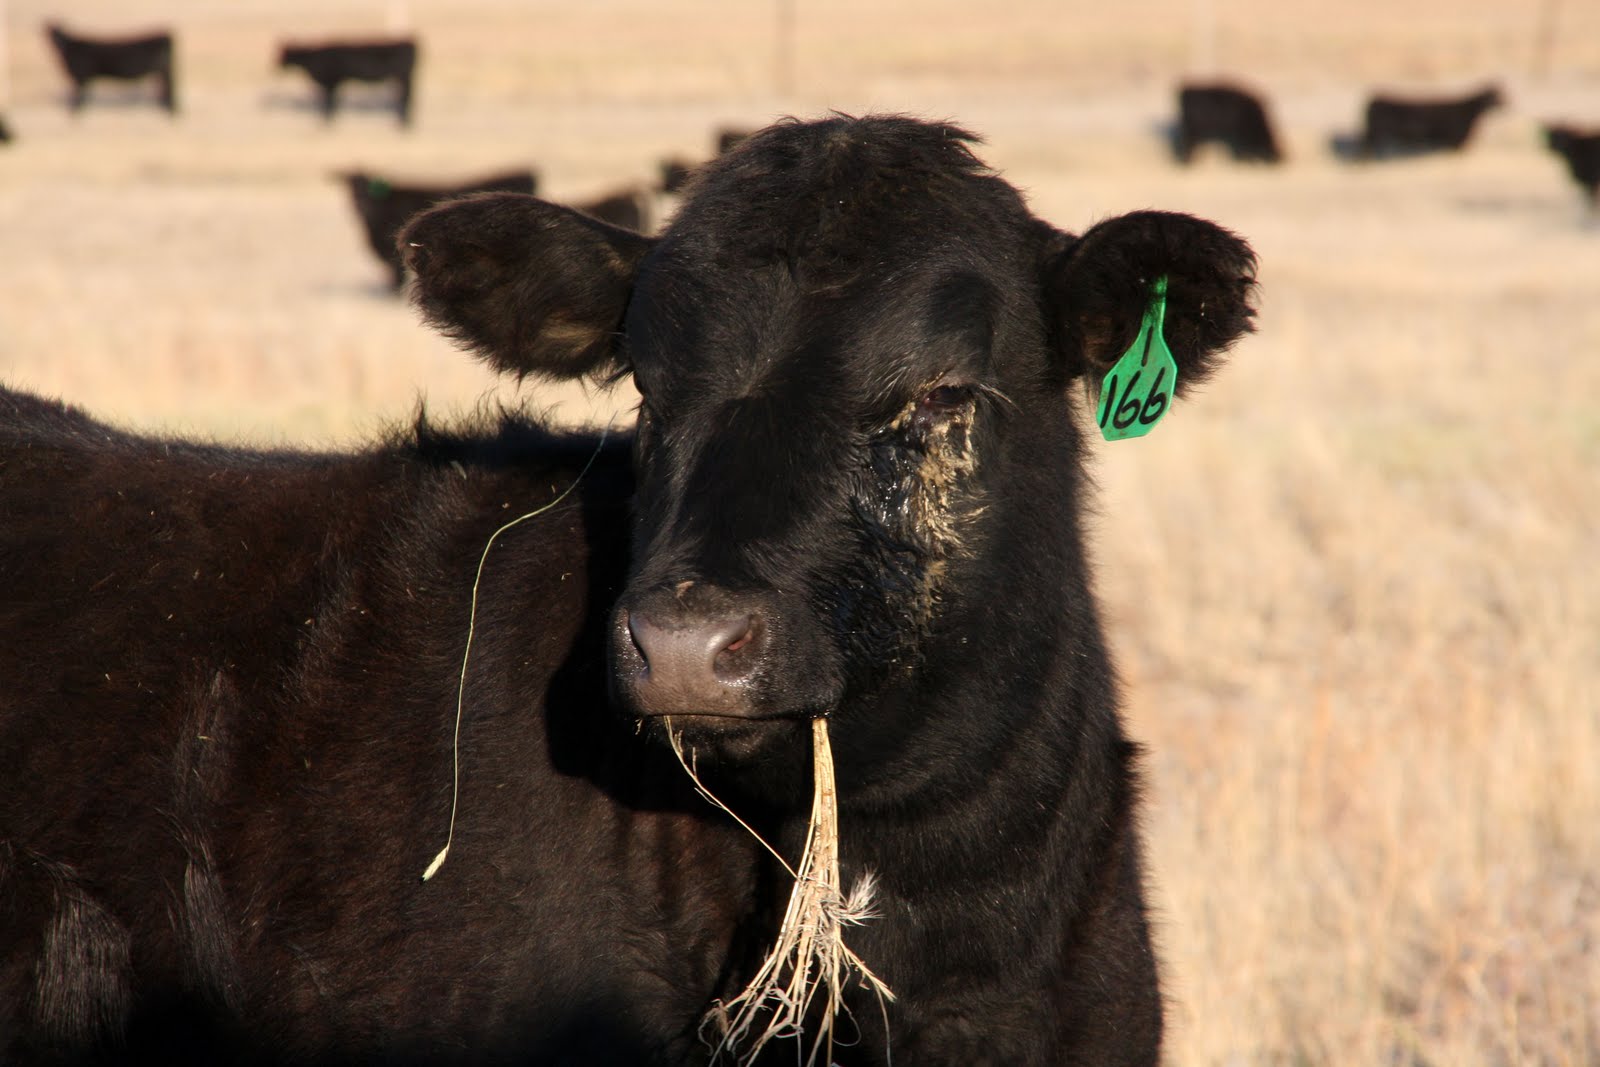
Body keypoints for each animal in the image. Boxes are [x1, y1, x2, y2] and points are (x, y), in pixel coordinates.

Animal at [278, 39, 418, 126]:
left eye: (282, 55)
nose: (276, 68)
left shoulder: (331, 82)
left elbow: (329, 104)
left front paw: (326, 123)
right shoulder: (333, 84)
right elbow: (331, 103)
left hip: (403, 78)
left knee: (405, 98)